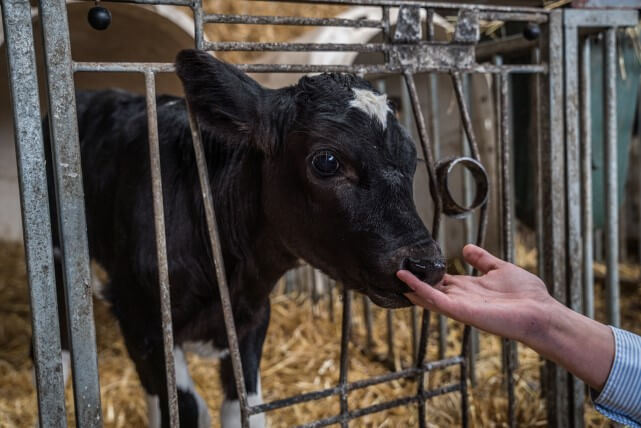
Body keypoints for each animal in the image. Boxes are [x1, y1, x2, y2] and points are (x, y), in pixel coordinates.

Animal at [43, 51, 444, 428]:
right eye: (327, 161)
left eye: (413, 159)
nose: (426, 264)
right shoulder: (140, 319)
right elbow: (187, 409)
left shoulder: (251, 318)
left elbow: (243, 410)